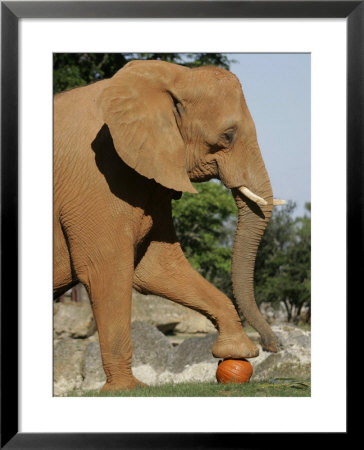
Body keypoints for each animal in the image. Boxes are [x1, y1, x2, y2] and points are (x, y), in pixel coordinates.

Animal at [52, 59, 282, 390]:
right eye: (228, 136)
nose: (271, 346)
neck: (173, 75)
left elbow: (157, 269)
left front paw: (236, 352)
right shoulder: (95, 179)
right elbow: (106, 270)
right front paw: (127, 390)